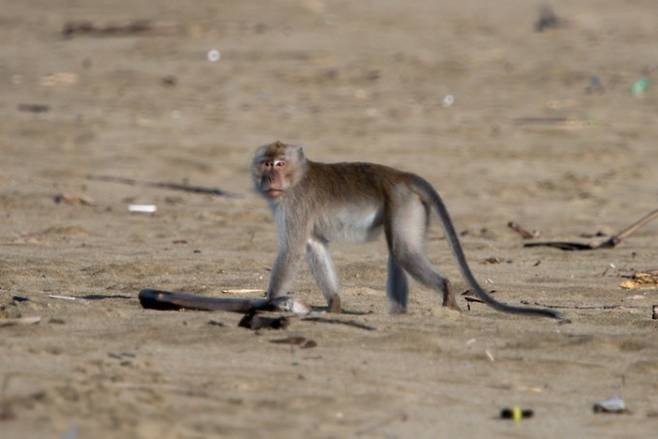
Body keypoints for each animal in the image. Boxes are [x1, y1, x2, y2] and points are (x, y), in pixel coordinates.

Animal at [250, 141, 560, 320]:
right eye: (266, 164)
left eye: (280, 164)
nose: (270, 178)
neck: (296, 178)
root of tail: (402, 176)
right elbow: (314, 245)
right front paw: (334, 305)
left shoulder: (295, 204)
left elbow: (292, 251)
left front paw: (268, 302)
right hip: (410, 206)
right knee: (398, 252)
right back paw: (399, 313)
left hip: (403, 203)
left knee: (402, 252)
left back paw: (447, 294)